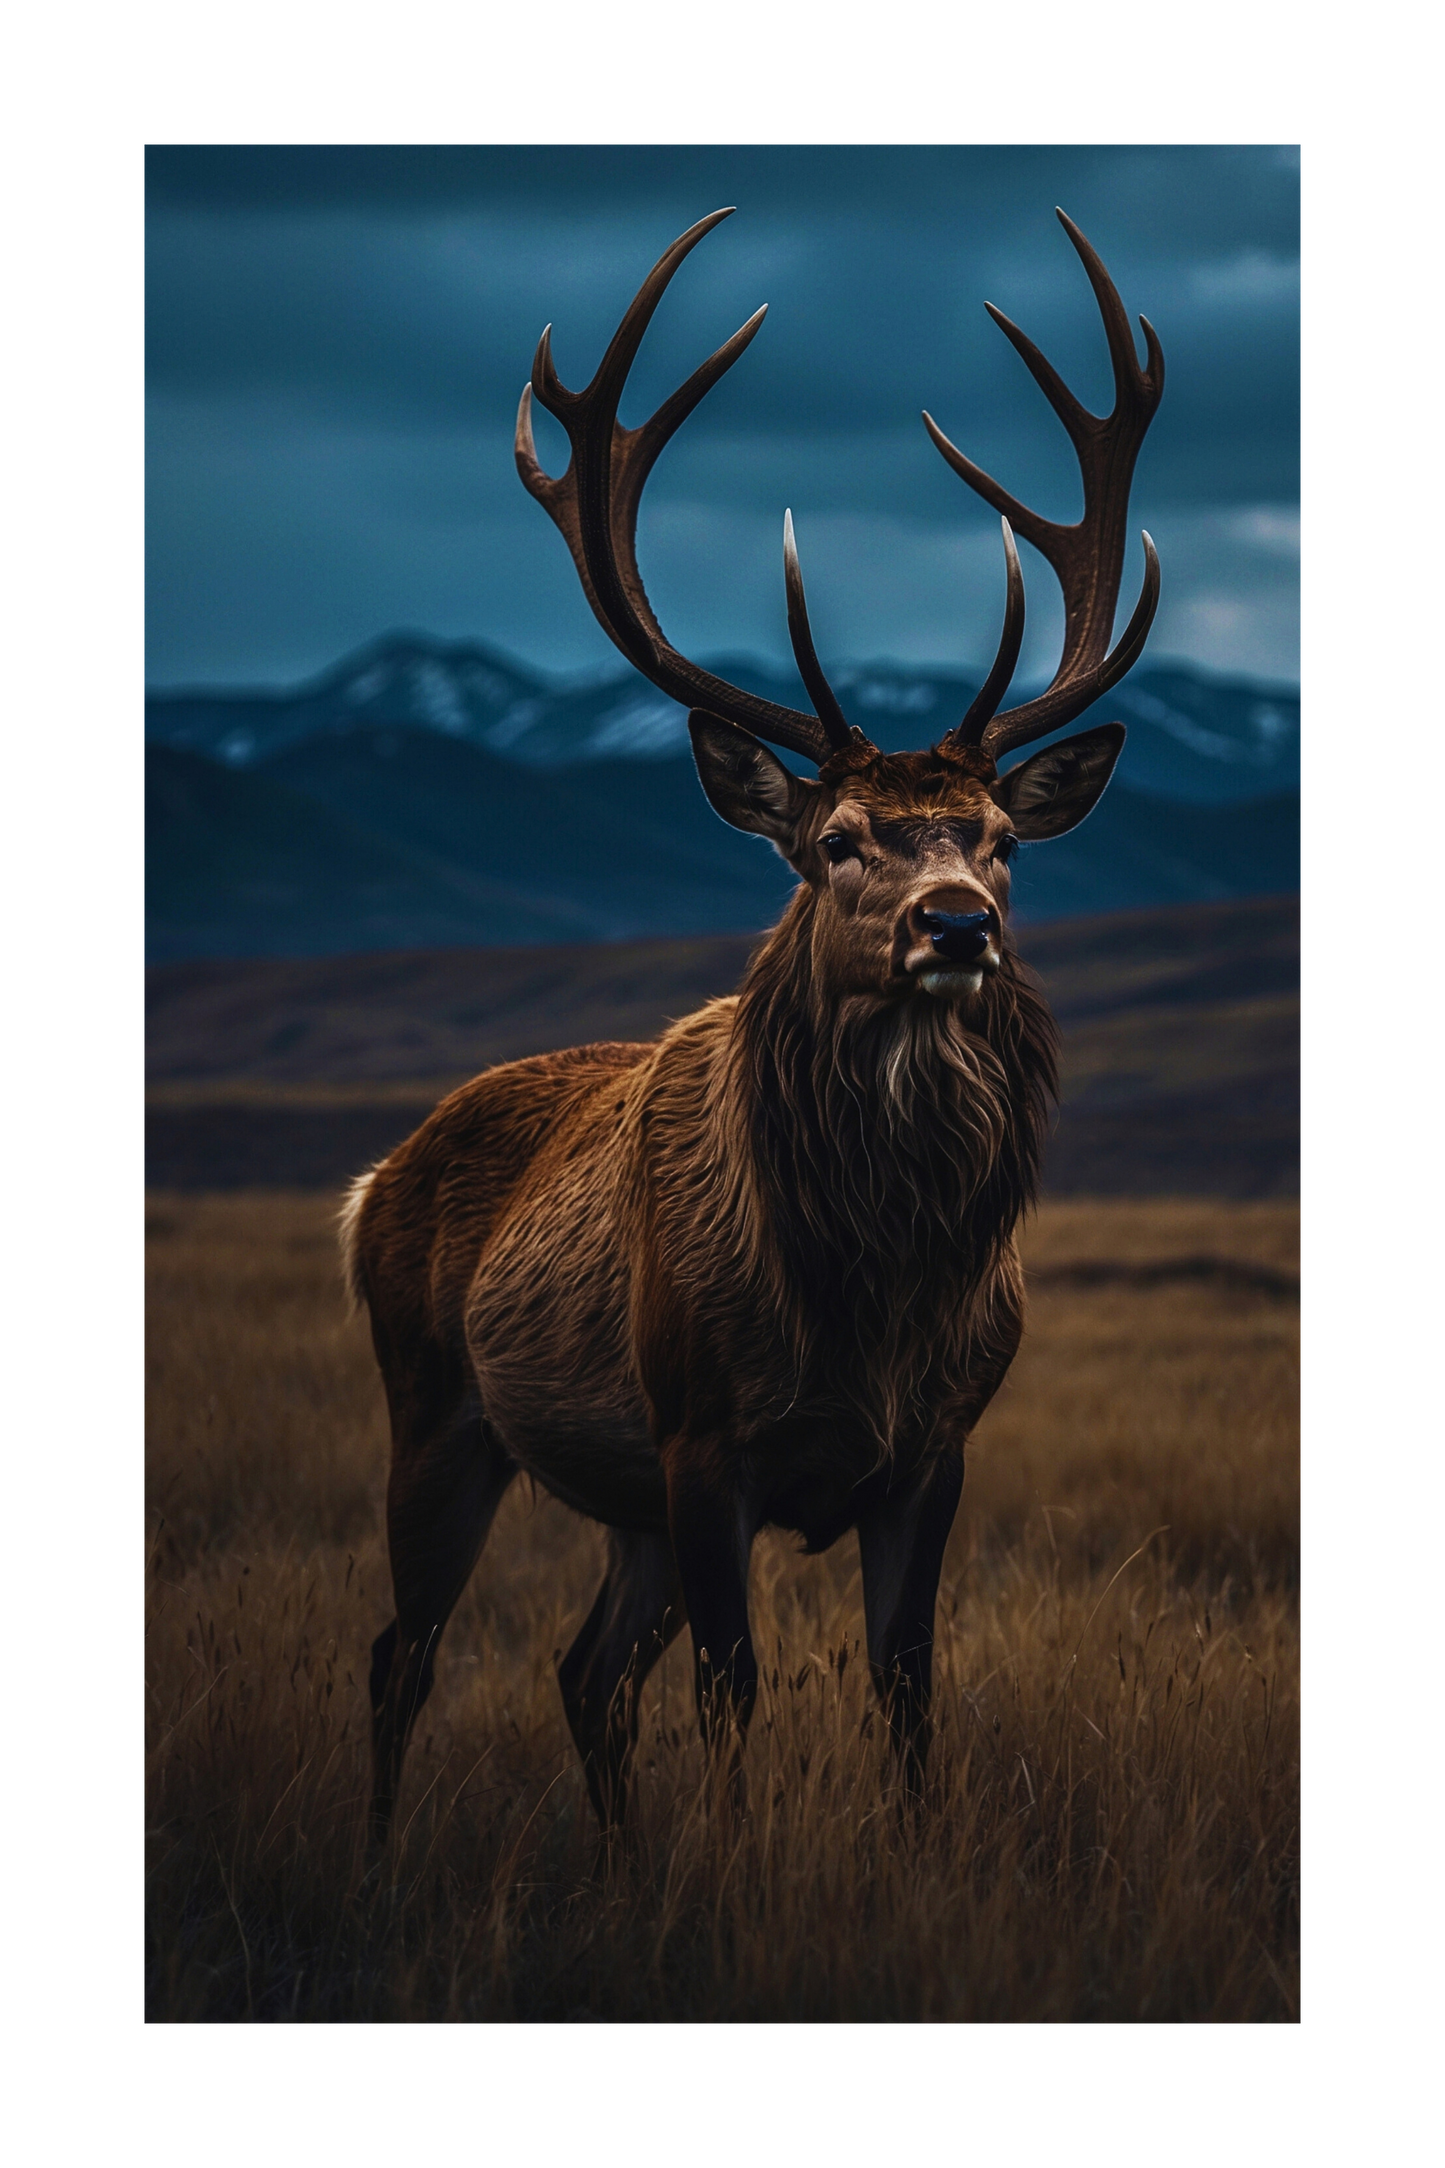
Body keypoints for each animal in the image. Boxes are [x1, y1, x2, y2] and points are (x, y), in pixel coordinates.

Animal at [343, 207, 1164, 1839]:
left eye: (1001, 841)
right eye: (836, 840)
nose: (955, 925)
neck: (875, 1294)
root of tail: (370, 1183)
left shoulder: (932, 1450)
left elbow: (907, 1693)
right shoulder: (703, 1436)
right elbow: (732, 1695)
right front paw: (729, 1862)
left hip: (620, 1505)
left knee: (583, 1671)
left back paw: (615, 1858)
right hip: (440, 1404)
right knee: (406, 1652)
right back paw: (385, 1850)